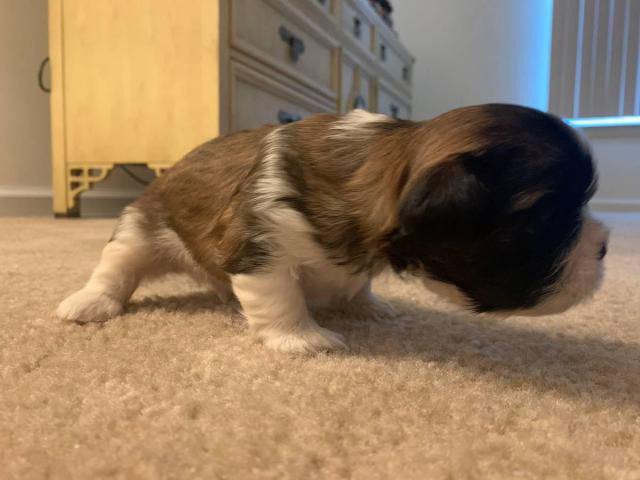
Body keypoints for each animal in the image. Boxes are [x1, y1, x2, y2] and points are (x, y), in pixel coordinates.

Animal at [57, 105, 608, 352]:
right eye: (546, 218)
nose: (604, 247)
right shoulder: (259, 242)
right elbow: (279, 295)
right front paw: (302, 339)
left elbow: (357, 285)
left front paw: (368, 305)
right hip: (141, 226)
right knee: (116, 267)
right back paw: (89, 303)